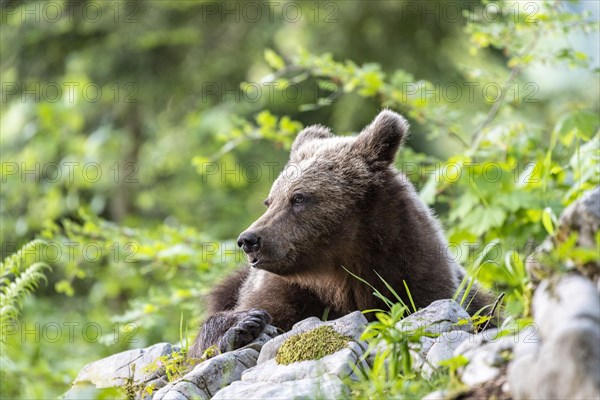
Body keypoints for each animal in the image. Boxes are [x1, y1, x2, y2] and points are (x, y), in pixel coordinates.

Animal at [189, 110, 492, 360]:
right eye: (270, 201)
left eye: (298, 198)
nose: (249, 240)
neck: (337, 273)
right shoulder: (283, 290)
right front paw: (245, 326)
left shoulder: (416, 272)